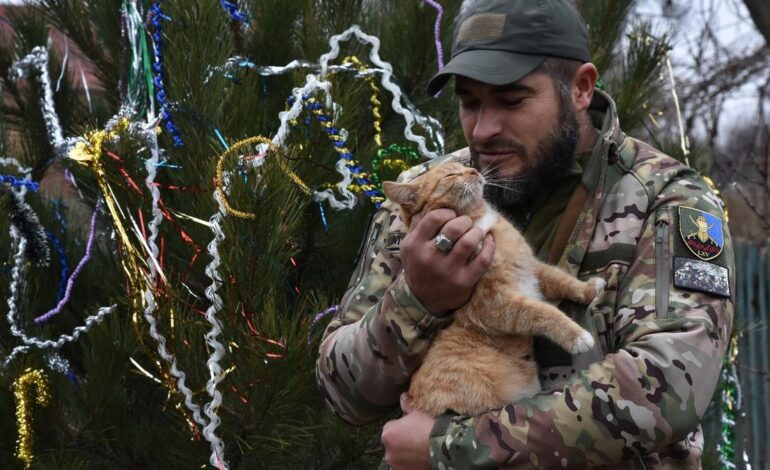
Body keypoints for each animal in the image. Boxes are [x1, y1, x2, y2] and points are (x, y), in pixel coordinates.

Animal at [380, 161, 604, 414]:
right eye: (450, 174)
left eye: (462, 166)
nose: (474, 171)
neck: (479, 221)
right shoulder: (494, 304)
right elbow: (542, 312)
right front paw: (576, 336)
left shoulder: (531, 268)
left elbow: (560, 279)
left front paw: (588, 289)